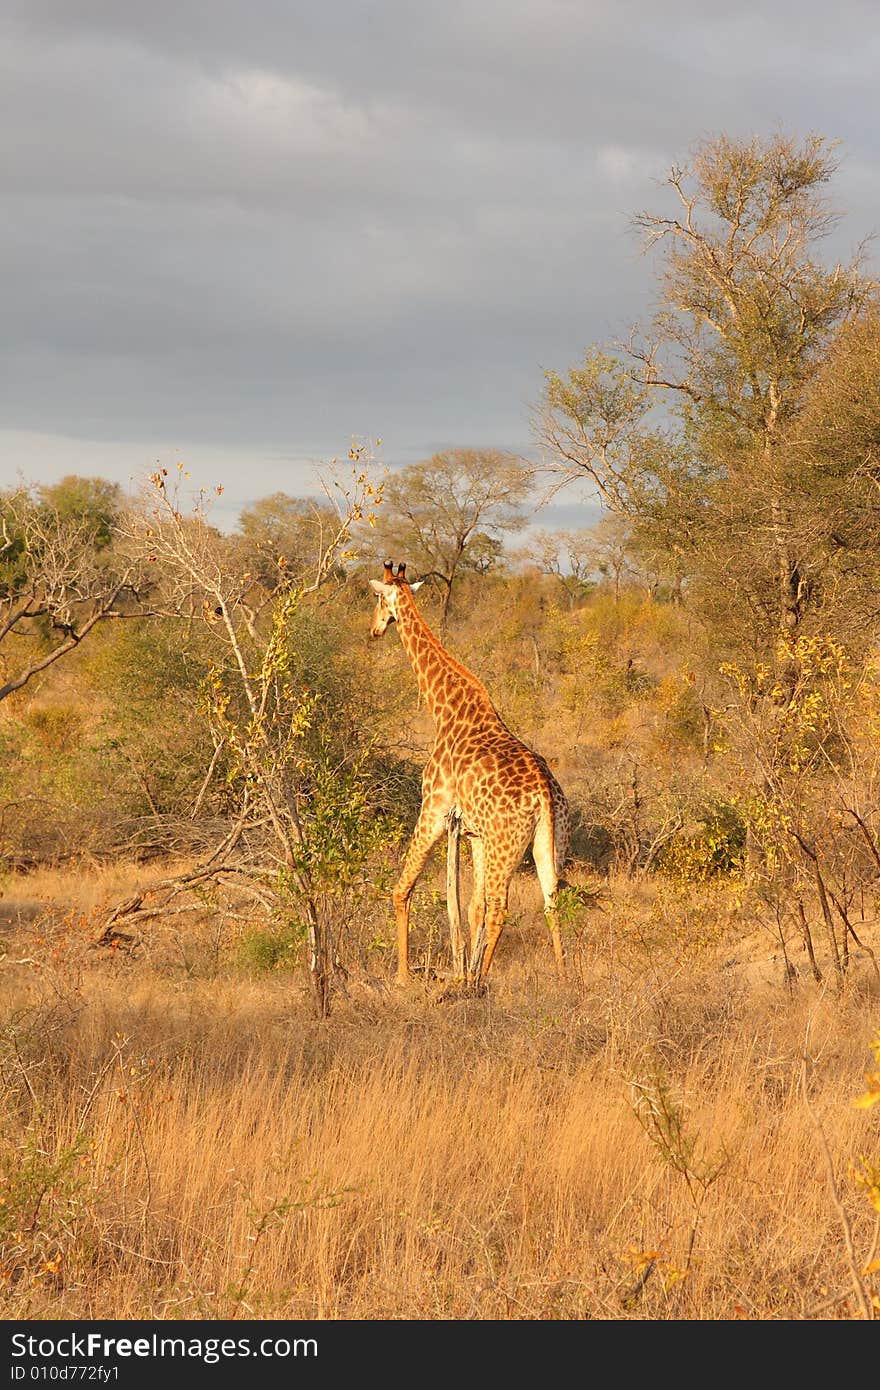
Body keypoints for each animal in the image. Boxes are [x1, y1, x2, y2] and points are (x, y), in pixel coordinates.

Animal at [364, 558, 567, 984]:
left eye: (377, 597)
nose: (374, 628)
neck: (444, 709)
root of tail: (543, 794)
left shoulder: (434, 809)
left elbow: (403, 889)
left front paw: (404, 976)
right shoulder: (474, 833)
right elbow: (471, 907)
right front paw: (462, 967)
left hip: (506, 845)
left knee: (501, 907)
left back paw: (480, 982)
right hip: (548, 840)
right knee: (551, 899)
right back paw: (563, 974)